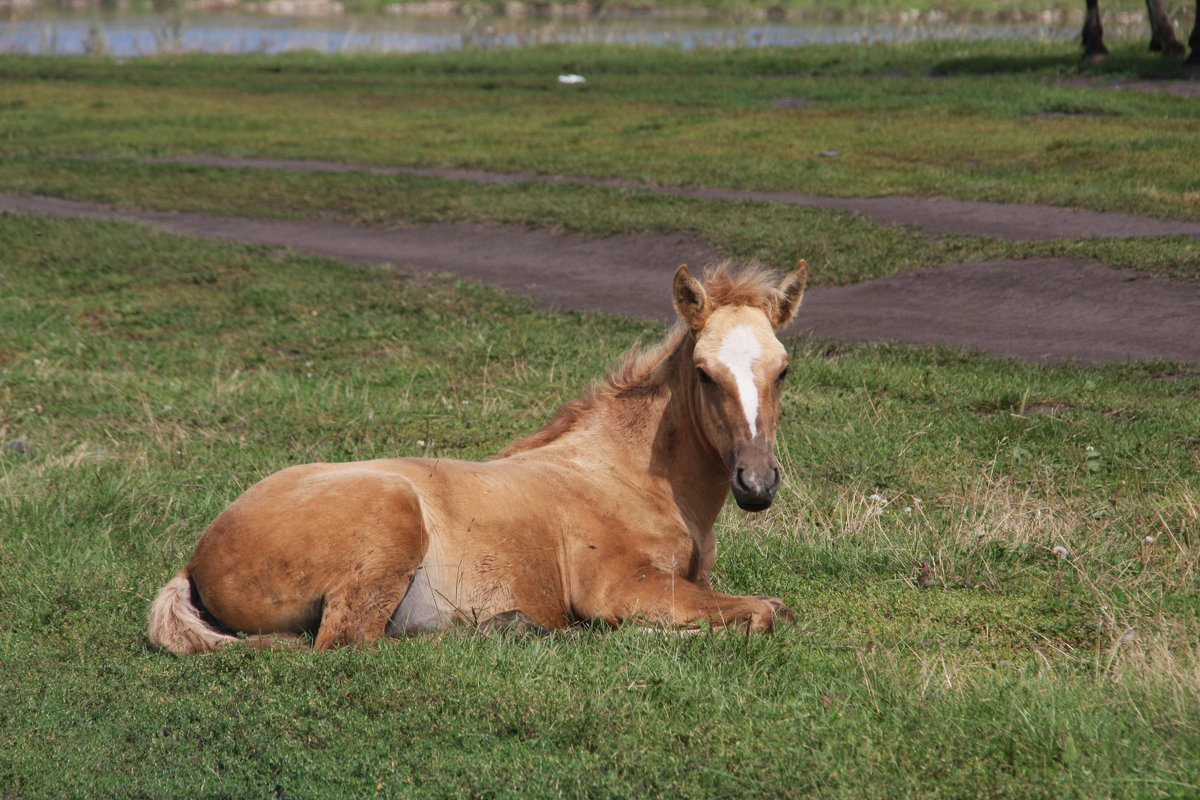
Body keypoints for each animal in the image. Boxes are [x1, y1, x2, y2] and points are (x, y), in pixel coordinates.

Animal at [147, 260, 806, 652]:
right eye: (705, 373)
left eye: (782, 370)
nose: (756, 483)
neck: (631, 478)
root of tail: (195, 558)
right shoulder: (623, 585)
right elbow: (765, 611)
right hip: (389, 522)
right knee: (352, 641)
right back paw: (514, 627)